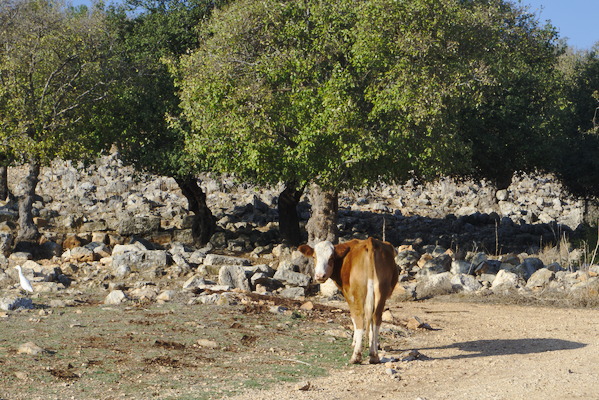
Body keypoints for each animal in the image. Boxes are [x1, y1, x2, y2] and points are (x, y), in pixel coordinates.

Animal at [298, 238, 398, 366]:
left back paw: (356, 357)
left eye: (331, 258)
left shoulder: (348, 294)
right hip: (381, 291)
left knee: (359, 317)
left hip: (358, 292)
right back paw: (374, 356)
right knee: (376, 317)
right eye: (314, 256)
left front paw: (355, 342)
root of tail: (370, 242)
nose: (320, 276)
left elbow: (353, 318)